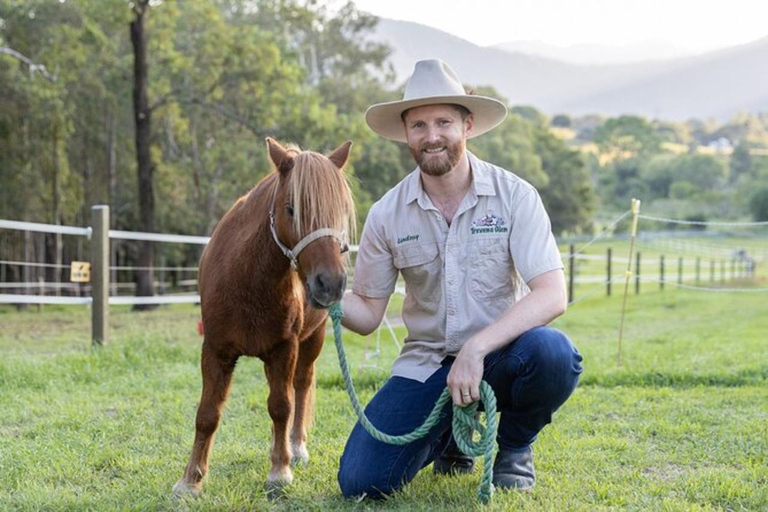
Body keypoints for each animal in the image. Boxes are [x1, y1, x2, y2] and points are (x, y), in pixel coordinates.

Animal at [173, 138, 354, 498]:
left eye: (339, 210)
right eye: (291, 208)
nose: (331, 283)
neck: (247, 280)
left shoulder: (285, 349)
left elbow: (281, 406)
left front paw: (279, 471)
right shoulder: (215, 350)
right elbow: (207, 414)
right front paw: (190, 479)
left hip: (312, 340)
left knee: (301, 387)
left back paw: (295, 448)